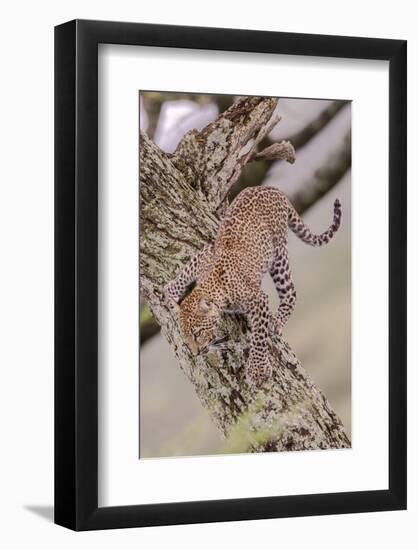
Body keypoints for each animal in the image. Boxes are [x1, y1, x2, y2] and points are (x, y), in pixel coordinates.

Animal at [163, 188, 342, 386]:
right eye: (186, 338)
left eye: (196, 333)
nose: (196, 353)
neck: (216, 288)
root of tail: (273, 189)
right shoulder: (204, 255)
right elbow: (184, 274)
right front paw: (170, 297)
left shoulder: (258, 300)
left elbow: (258, 336)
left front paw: (257, 369)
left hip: (278, 253)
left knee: (290, 292)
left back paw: (276, 321)